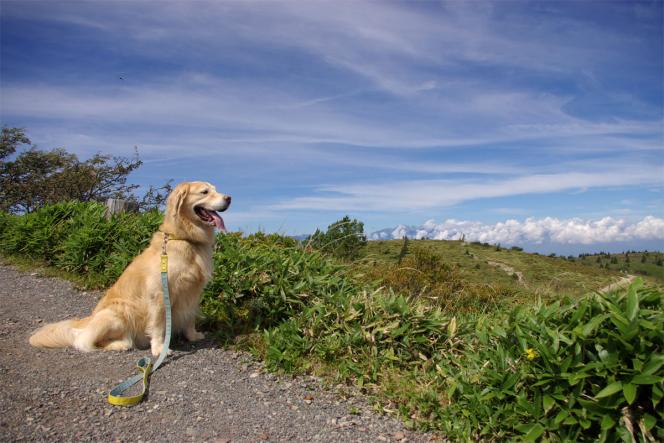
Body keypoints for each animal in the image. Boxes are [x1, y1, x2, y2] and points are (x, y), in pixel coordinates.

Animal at [27, 180, 231, 358]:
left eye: (215, 189)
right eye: (204, 192)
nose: (229, 198)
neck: (185, 238)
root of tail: (88, 320)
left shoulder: (194, 290)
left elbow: (190, 317)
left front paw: (192, 335)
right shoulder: (159, 294)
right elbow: (158, 325)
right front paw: (159, 349)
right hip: (118, 314)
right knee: (85, 342)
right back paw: (120, 344)